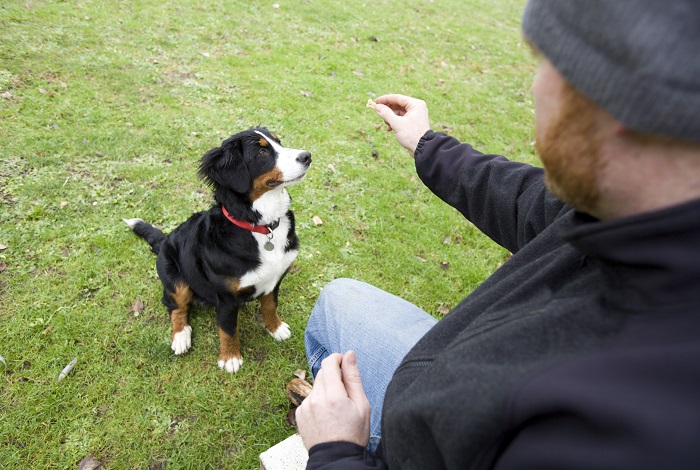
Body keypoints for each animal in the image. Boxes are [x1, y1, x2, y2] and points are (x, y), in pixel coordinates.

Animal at [125, 126, 312, 372]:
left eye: (279, 142)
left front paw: (276, 328)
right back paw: (181, 337)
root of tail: (164, 240)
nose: (307, 156)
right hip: (175, 278)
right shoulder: (226, 298)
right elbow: (228, 329)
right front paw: (230, 357)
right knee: (174, 306)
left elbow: (270, 306)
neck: (261, 227)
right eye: (262, 153)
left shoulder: (275, 279)